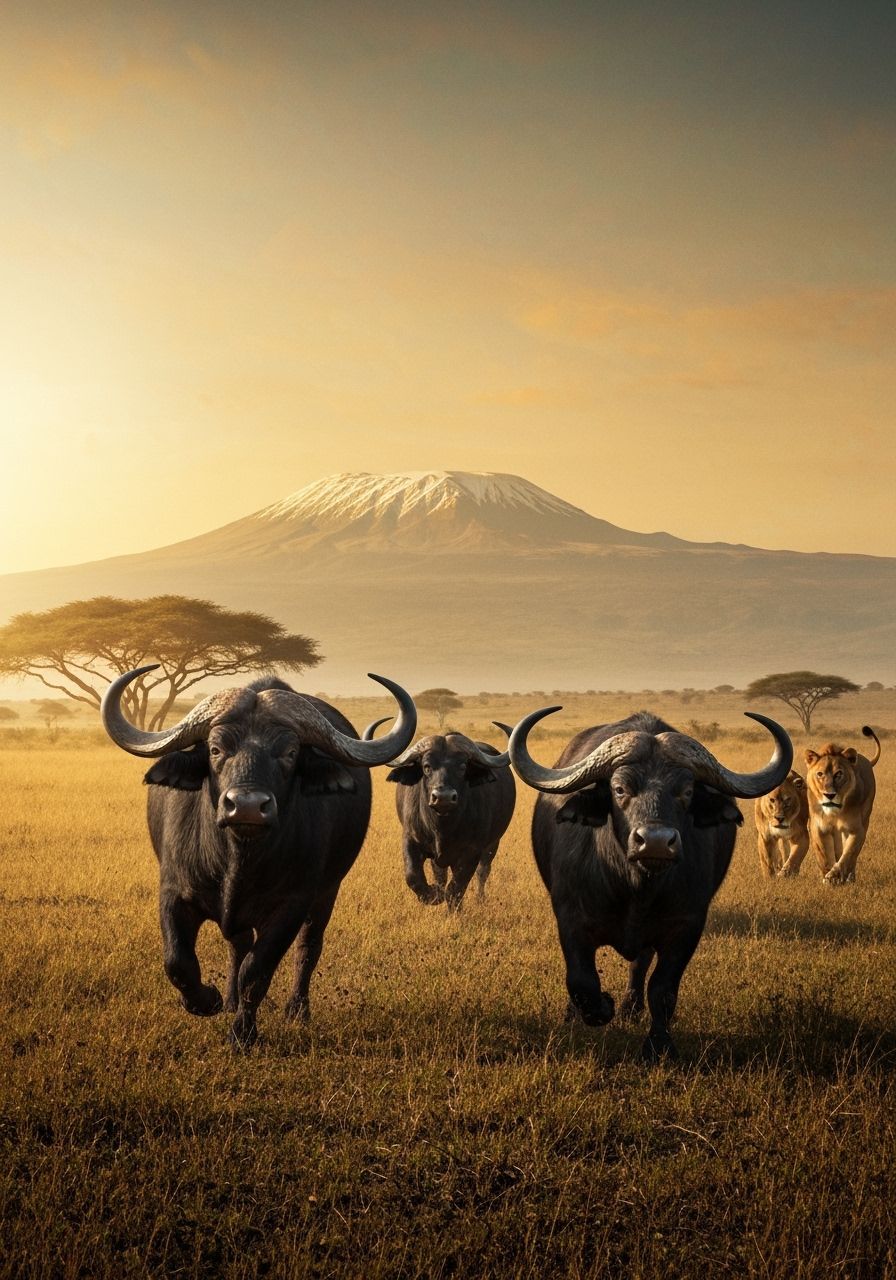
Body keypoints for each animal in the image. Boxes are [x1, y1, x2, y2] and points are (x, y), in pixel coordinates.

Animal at [102, 665, 416, 1048]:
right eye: (215, 748)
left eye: (290, 752)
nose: (247, 806)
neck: (238, 858)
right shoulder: (173, 892)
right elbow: (178, 962)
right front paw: (208, 1000)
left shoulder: (291, 906)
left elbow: (257, 970)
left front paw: (243, 1034)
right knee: (237, 945)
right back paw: (229, 999)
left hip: (327, 893)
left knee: (308, 948)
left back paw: (297, 1009)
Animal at [365, 719, 515, 908]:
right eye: (426, 766)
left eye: (462, 766)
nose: (443, 797)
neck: (442, 828)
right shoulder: (411, 840)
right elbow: (413, 877)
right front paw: (433, 894)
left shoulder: (471, 852)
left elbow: (456, 889)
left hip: (493, 844)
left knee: (483, 871)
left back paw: (480, 899)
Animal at [508, 708, 792, 1060]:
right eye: (619, 789)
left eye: (686, 791)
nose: (655, 842)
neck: (635, 888)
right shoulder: (570, 919)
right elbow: (582, 982)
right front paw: (601, 1007)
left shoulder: (686, 927)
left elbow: (662, 989)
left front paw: (658, 1046)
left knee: (640, 965)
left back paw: (631, 1007)